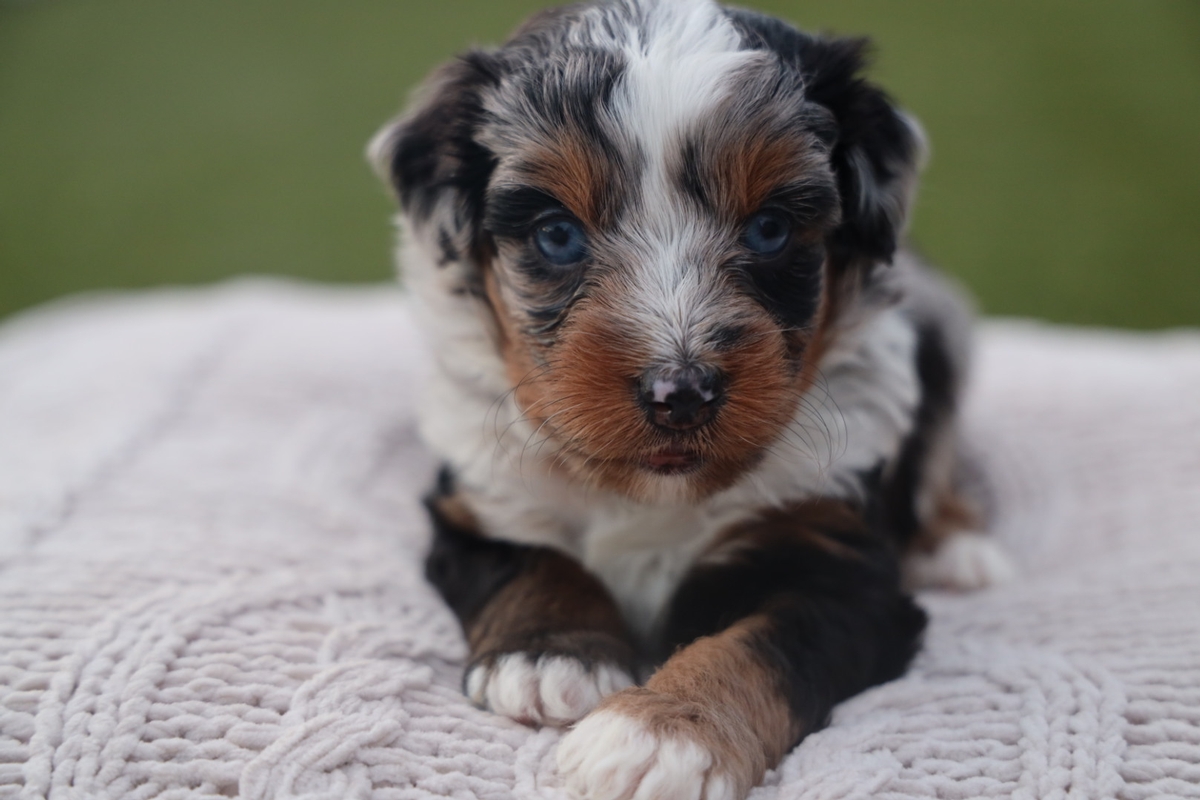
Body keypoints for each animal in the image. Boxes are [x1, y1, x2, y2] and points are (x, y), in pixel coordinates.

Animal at [369, 1, 1008, 800]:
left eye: (770, 228)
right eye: (556, 235)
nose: (682, 394)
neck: (651, 493)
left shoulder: (841, 567)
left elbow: (758, 646)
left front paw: (662, 735)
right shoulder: (479, 501)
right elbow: (530, 561)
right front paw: (550, 658)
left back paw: (958, 546)